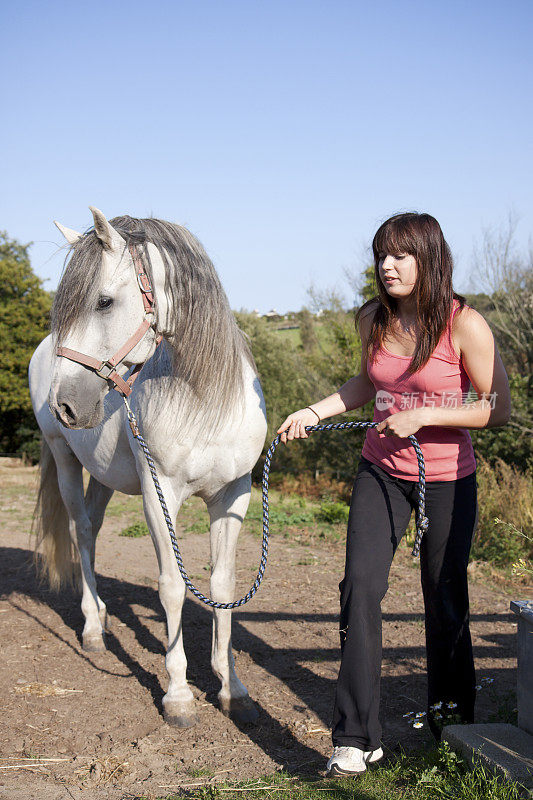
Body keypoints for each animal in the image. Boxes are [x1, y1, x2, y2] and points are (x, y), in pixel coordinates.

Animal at [29, 205, 266, 724]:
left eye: (103, 302)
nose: (65, 406)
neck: (205, 399)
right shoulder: (162, 497)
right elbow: (173, 586)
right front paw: (178, 694)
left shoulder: (234, 496)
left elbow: (222, 585)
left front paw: (231, 686)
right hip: (64, 460)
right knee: (81, 532)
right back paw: (92, 628)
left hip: (103, 475)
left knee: (94, 528)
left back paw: (102, 615)